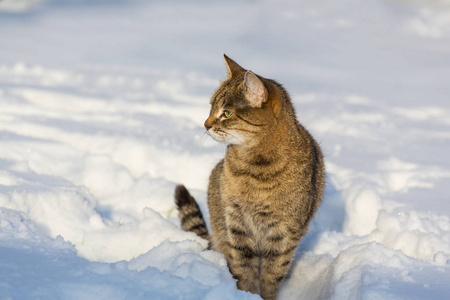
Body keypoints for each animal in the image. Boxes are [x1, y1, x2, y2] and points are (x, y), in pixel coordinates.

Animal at [174, 55, 326, 298]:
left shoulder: (285, 231)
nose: (205, 125)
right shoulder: (236, 221)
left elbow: (272, 274)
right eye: (211, 106)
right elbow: (244, 265)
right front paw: (246, 294)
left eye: (226, 113)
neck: (254, 168)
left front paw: (264, 296)